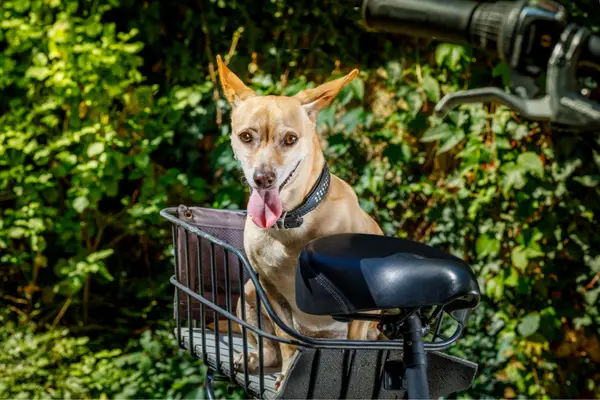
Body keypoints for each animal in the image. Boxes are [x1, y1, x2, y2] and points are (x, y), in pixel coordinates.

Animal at [217, 55, 384, 390]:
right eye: (246, 136)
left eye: (290, 139)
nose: (263, 177)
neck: (293, 220)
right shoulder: (270, 291)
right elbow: (285, 341)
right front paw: (288, 373)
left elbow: (354, 354)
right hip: (248, 293)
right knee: (269, 346)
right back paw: (253, 358)